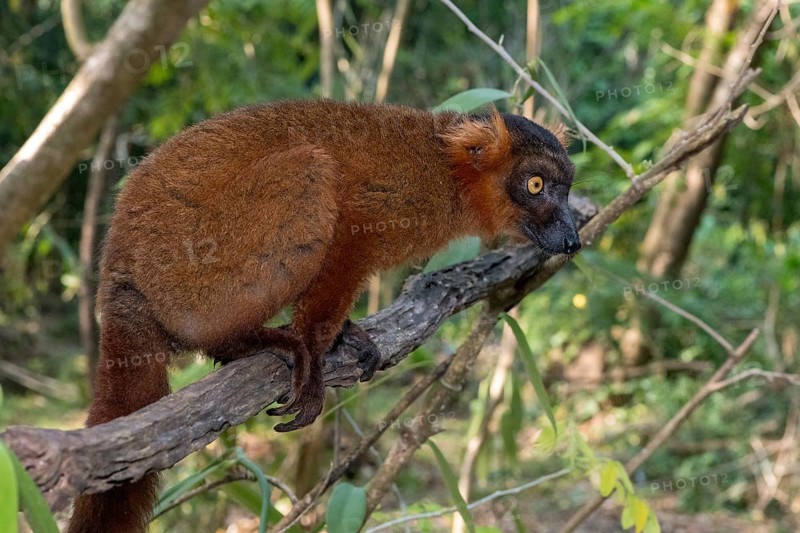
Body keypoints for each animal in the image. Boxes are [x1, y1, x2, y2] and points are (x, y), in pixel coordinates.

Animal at [66, 99, 580, 532]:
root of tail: (122, 270)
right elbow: (346, 239)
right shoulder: (381, 207)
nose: (572, 237)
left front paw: (344, 336)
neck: (448, 176)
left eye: (566, 190)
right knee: (309, 173)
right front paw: (315, 350)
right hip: (192, 272)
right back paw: (242, 343)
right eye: (535, 186)